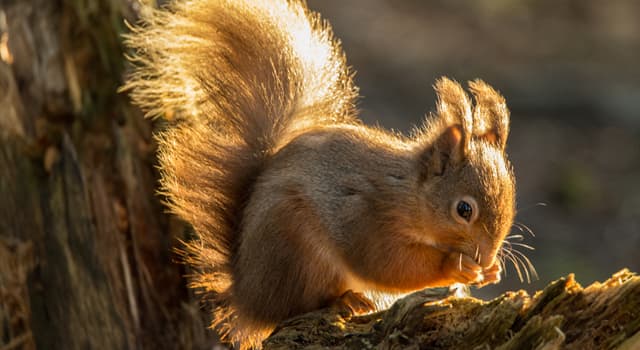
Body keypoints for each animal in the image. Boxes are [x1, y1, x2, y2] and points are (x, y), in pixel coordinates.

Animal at [124, 0, 516, 348]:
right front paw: (456, 265)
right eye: (463, 210)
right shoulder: (364, 214)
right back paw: (343, 300)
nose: (486, 256)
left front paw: (492, 271)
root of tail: (247, 295)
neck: (407, 192)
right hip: (296, 248)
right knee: (296, 306)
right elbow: (386, 265)